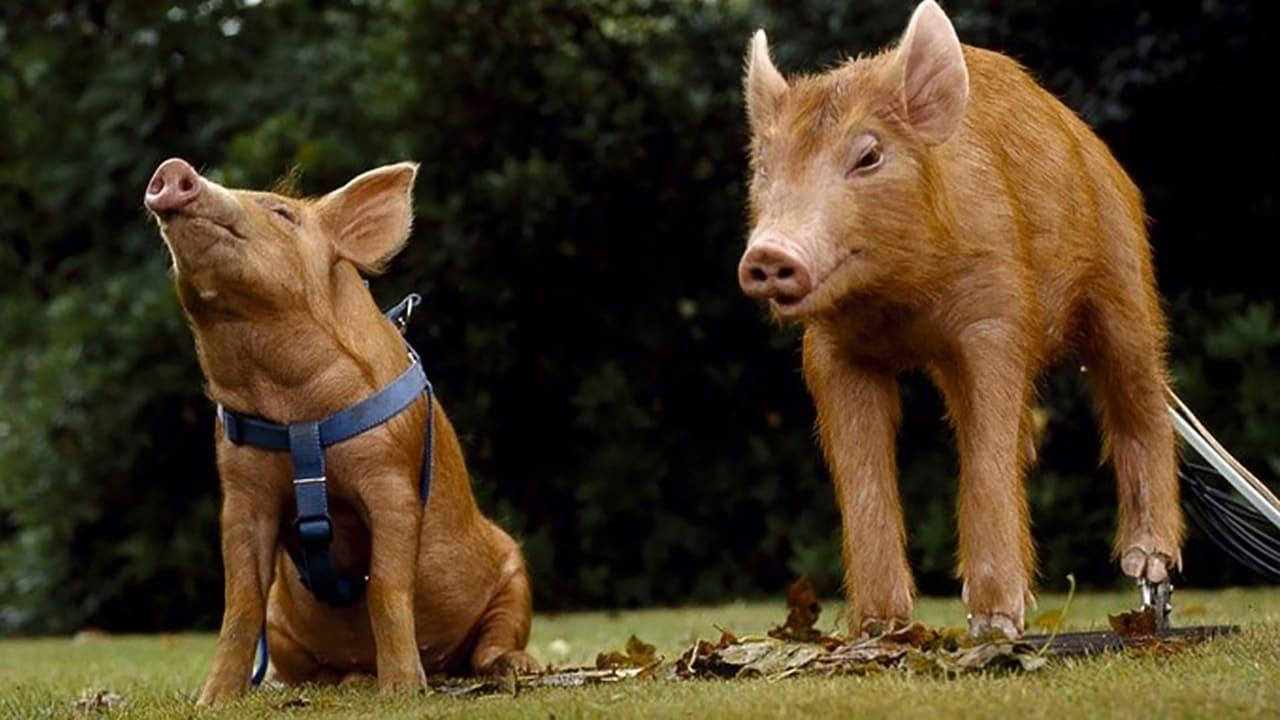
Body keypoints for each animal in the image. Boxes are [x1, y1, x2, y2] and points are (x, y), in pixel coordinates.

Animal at [144, 156, 535, 702]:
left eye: (282, 213)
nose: (173, 169)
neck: (295, 413)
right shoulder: (241, 492)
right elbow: (240, 601)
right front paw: (212, 700)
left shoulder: (391, 478)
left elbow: (388, 587)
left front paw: (402, 692)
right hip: (284, 631)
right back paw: (350, 679)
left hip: (514, 574)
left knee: (491, 645)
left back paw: (511, 667)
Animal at [737, 2, 1182, 635]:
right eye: (764, 169)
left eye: (868, 156)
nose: (769, 254)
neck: (900, 305)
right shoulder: (830, 346)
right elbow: (860, 470)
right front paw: (880, 631)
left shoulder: (995, 314)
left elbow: (986, 452)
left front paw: (995, 626)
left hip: (1124, 273)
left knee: (1139, 400)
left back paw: (1148, 570)